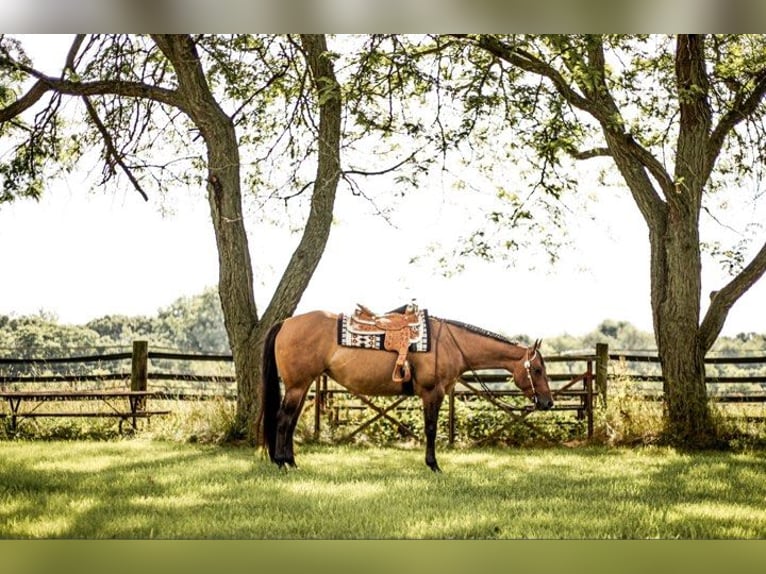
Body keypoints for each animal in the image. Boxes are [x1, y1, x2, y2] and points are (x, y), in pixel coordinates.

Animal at [260, 310, 556, 472]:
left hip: (302, 385)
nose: (548, 402)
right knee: (283, 420)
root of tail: (285, 323)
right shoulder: (432, 393)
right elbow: (431, 429)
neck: (450, 343)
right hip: (297, 386)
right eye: (537, 369)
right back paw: (281, 462)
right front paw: (434, 465)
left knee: (290, 422)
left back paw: (291, 462)